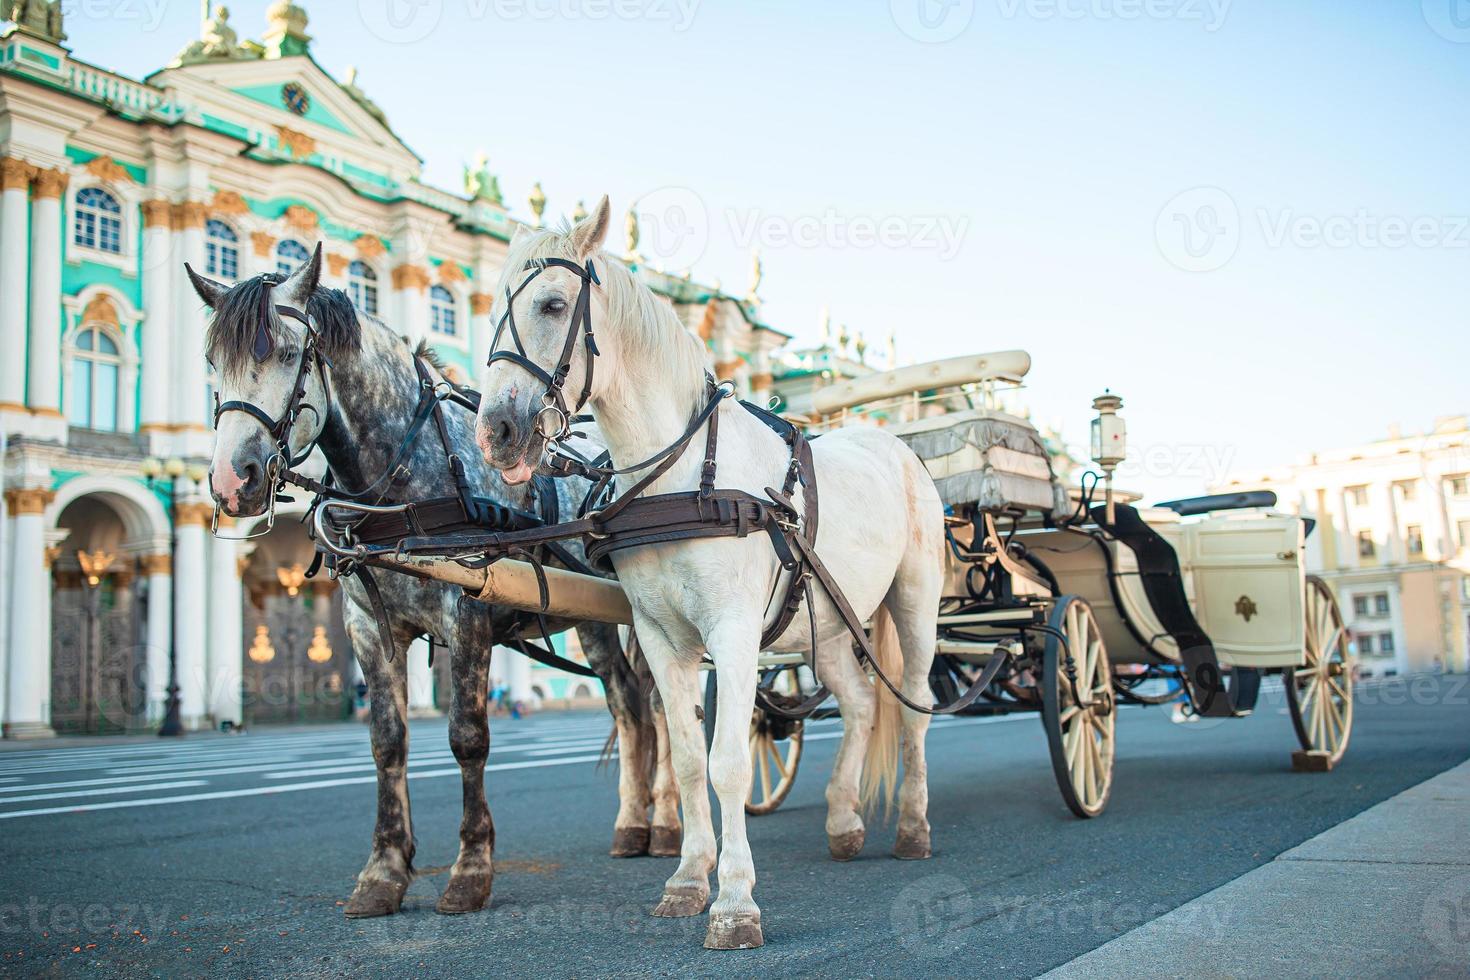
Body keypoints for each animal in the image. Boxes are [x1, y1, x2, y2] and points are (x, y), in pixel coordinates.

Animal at [476, 196, 946, 952]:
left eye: (552, 303)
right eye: (489, 306)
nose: (497, 432)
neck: (681, 474)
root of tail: (892, 442)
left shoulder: (732, 633)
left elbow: (728, 764)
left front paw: (734, 904)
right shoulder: (662, 638)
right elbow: (691, 758)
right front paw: (689, 880)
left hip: (915, 604)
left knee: (913, 707)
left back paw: (911, 826)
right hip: (827, 626)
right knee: (861, 704)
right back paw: (845, 820)